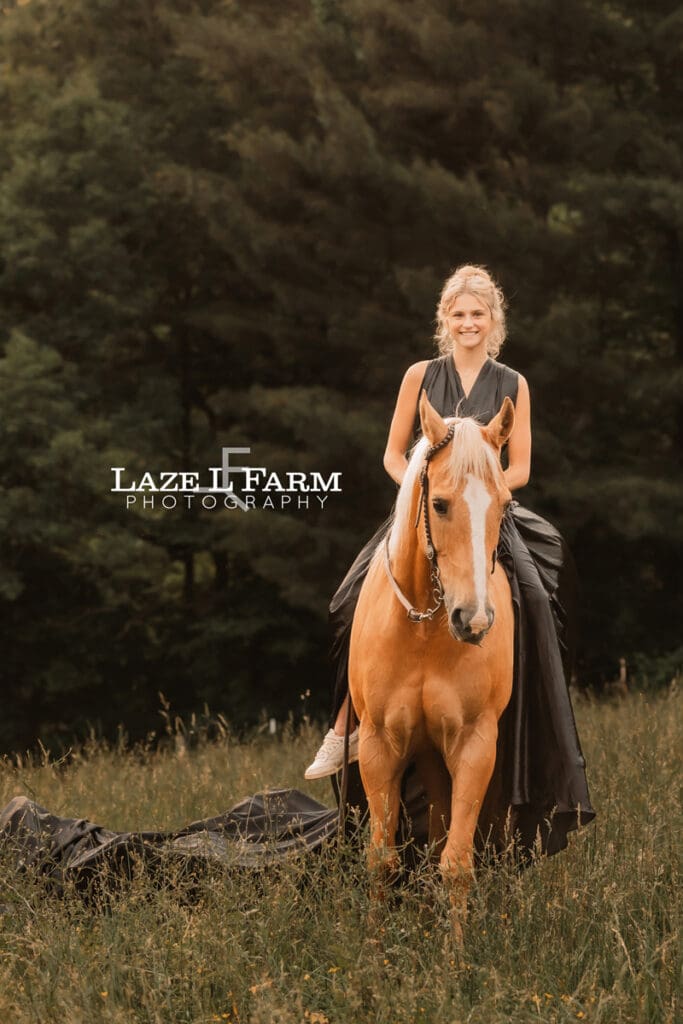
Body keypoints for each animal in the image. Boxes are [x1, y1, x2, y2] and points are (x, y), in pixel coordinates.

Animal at [348, 391, 516, 934]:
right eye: (439, 504)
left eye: (504, 504)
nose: (474, 620)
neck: (424, 626)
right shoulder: (380, 745)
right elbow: (381, 860)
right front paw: (373, 954)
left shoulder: (474, 745)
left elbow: (456, 864)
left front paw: (453, 956)